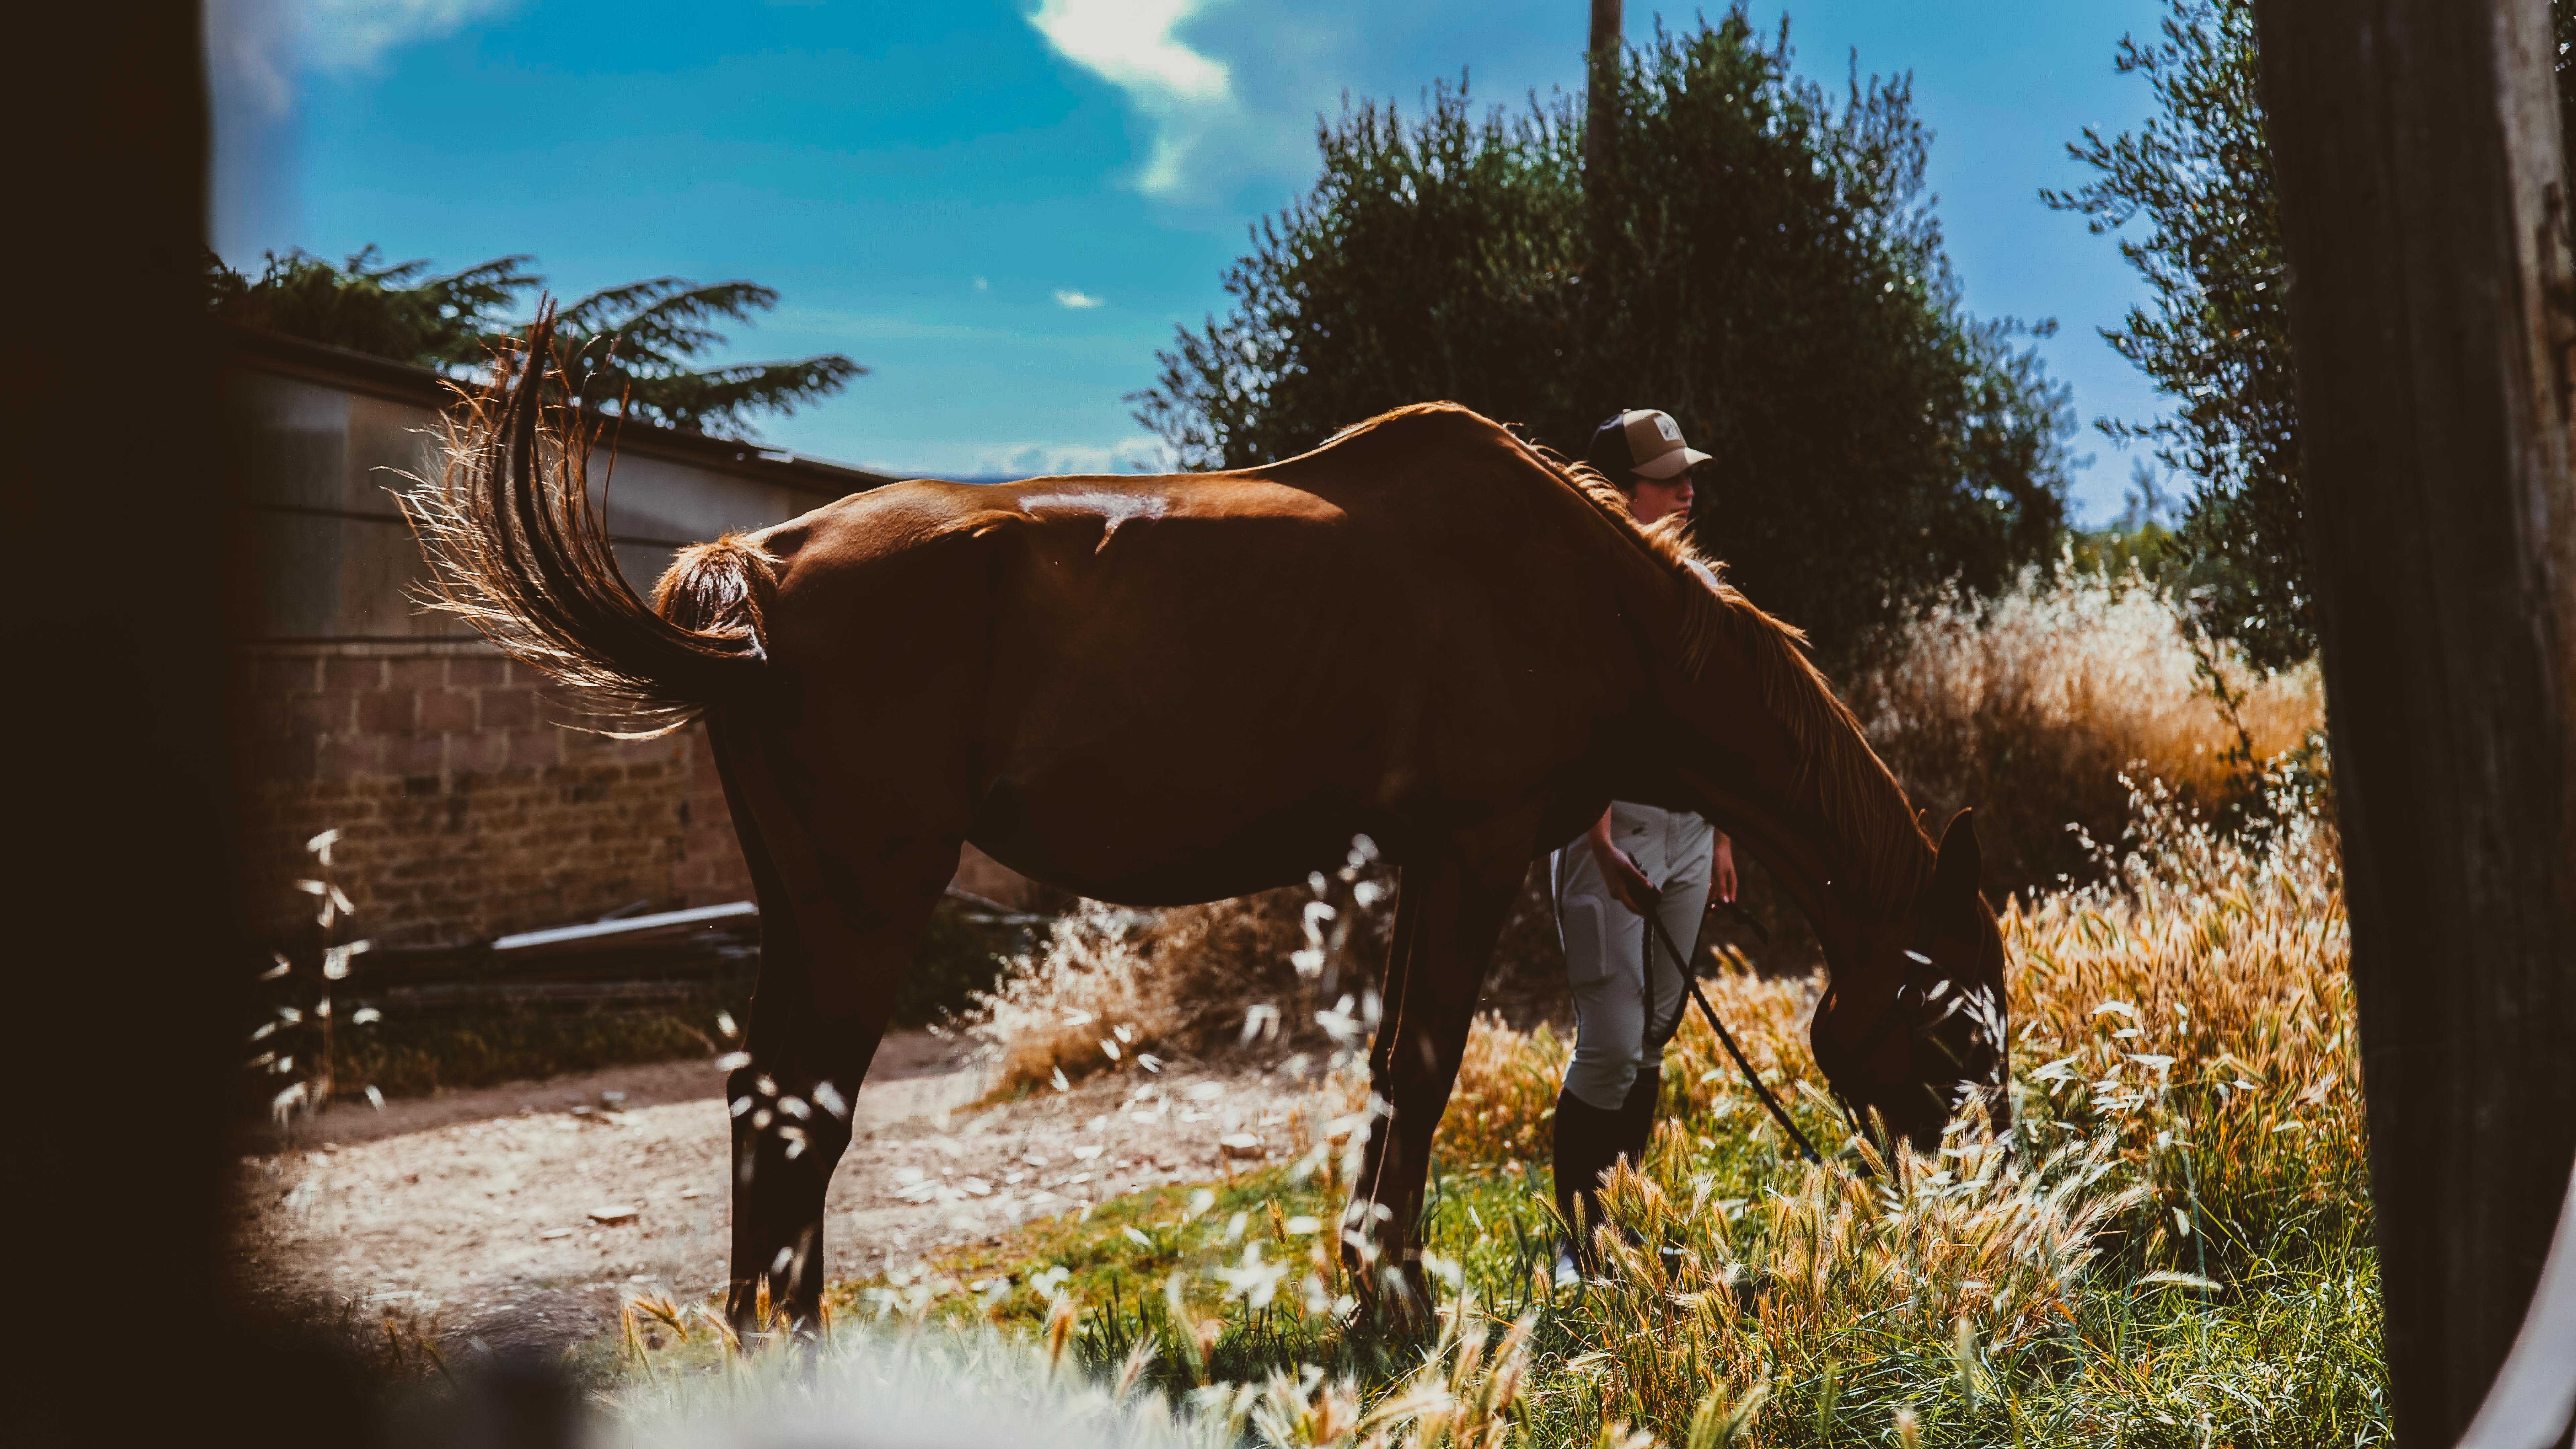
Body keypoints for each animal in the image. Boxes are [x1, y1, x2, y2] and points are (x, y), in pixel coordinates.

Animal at [403, 318, 2011, 1338]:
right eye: (1954, 1017)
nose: (1979, 1192)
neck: (1584, 591)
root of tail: (765, 566)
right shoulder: (1474, 848)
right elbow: (1419, 1073)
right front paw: (1397, 1304)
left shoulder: (1417, 861)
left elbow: (1392, 1073)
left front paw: (1378, 1287)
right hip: (863, 894)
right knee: (800, 1108)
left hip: (805, 897)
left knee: (770, 1107)